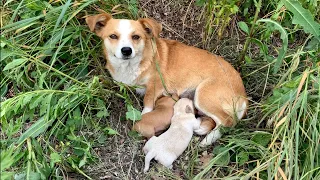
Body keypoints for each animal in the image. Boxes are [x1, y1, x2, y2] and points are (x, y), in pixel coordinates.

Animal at [85, 13, 248, 146]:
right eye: (113, 36)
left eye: (136, 37)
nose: (126, 51)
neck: (131, 65)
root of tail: (243, 93)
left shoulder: (154, 86)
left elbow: (147, 103)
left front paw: (145, 118)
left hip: (203, 95)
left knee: (228, 121)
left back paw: (208, 140)